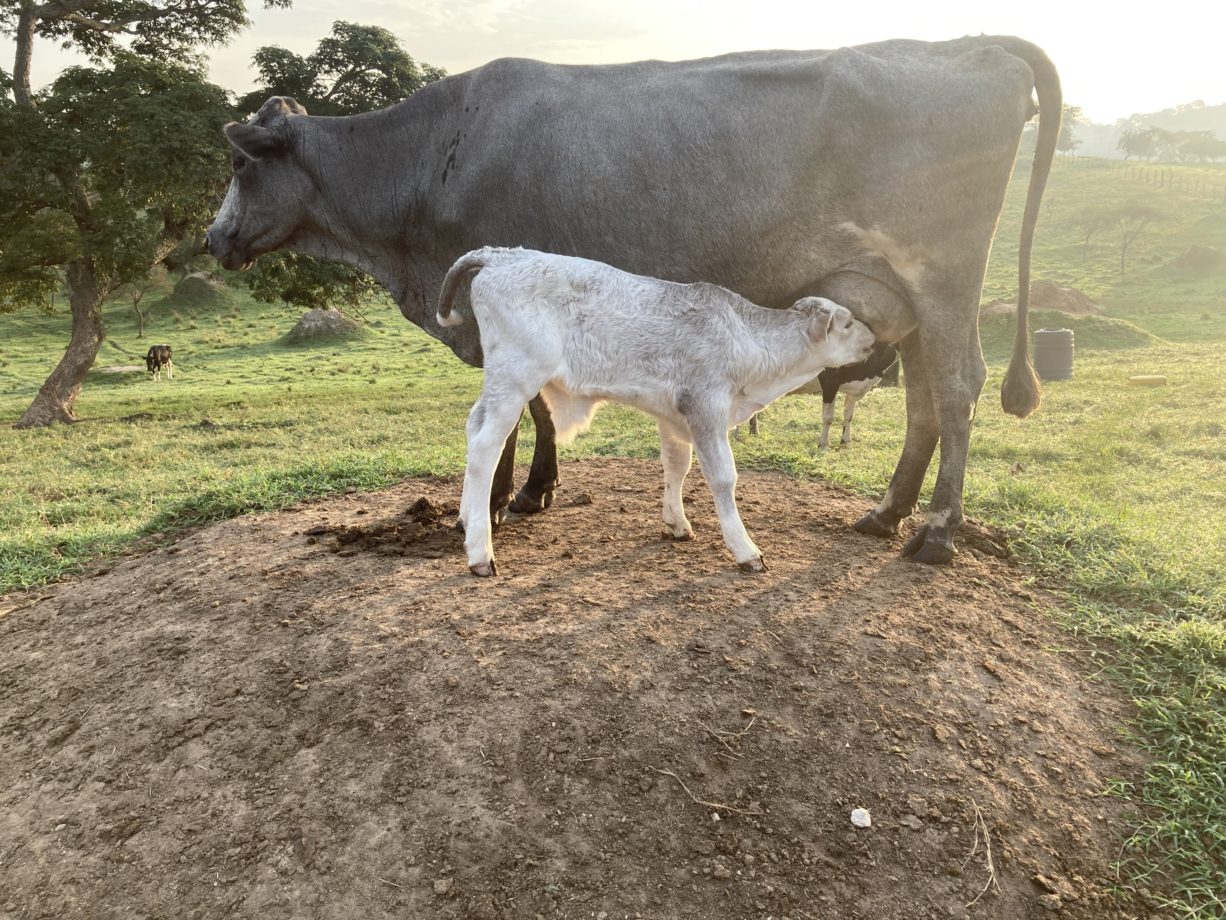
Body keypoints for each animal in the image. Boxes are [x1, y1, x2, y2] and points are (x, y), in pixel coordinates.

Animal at [436, 245, 877, 576]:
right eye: (848, 323)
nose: (874, 339)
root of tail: (499, 255)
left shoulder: (672, 414)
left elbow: (676, 466)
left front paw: (676, 523)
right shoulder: (706, 405)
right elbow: (723, 478)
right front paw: (746, 549)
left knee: (473, 427)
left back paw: (465, 520)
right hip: (516, 377)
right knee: (485, 447)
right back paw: (480, 553)